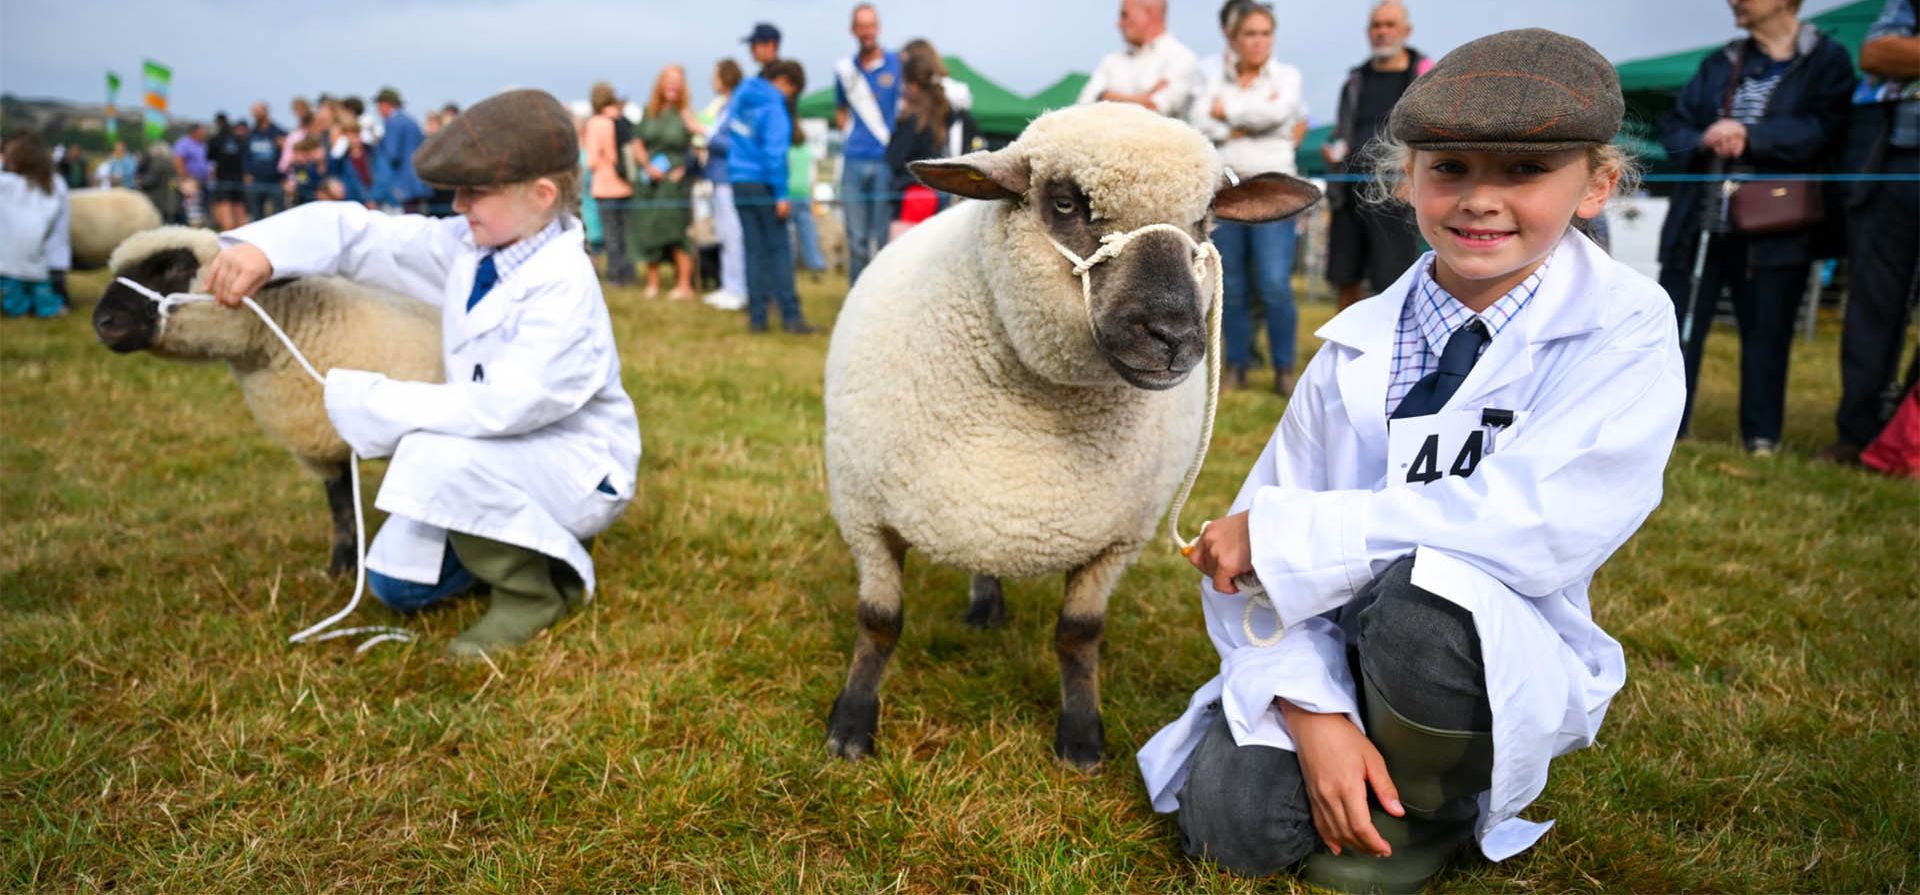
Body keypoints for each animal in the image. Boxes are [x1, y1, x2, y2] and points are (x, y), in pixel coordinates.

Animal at [822, 102, 1320, 768]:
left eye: (1203, 220)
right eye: (1064, 202)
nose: (1173, 335)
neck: (1032, 409)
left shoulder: (1117, 539)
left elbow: (1079, 635)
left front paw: (1081, 736)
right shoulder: (866, 515)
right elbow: (879, 620)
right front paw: (850, 725)